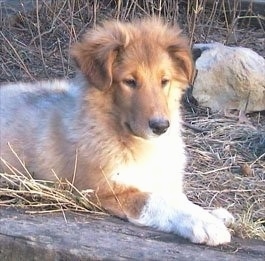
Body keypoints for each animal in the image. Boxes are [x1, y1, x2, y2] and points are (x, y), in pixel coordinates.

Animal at [0, 17, 232, 244]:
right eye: (130, 81)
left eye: (164, 81)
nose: (161, 127)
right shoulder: (103, 191)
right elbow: (159, 201)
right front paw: (204, 223)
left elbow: (177, 197)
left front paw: (212, 213)